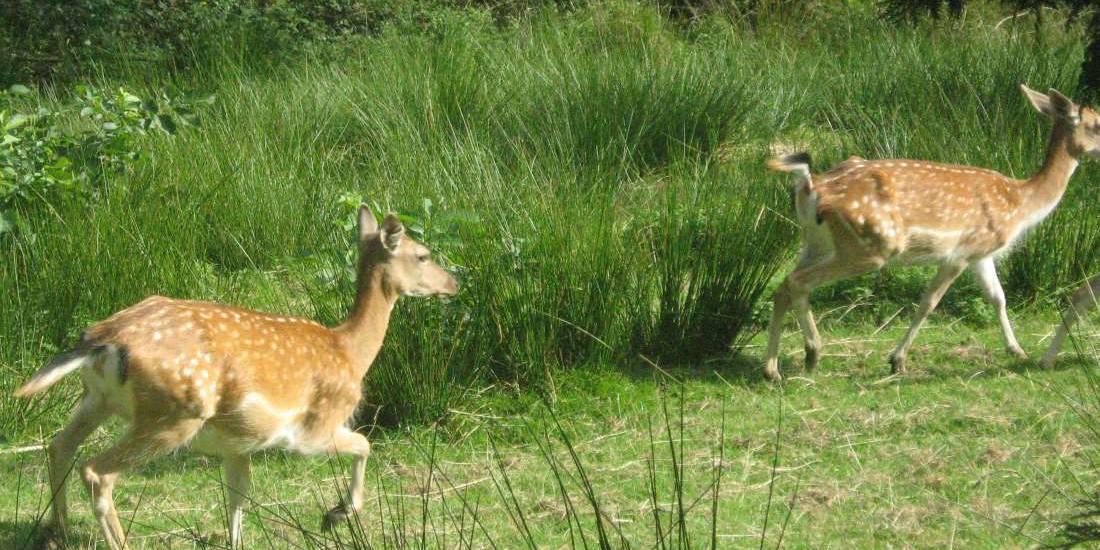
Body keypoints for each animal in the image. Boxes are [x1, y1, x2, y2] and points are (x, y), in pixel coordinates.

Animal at [10, 206, 455, 550]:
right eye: (422, 255)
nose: (454, 281)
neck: (350, 352)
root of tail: (103, 339)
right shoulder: (313, 427)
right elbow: (364, 445)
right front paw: (337, 514)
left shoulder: (239, 443)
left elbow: (238, 495)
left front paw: (236, 539)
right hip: (174, 412)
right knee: (97, 471)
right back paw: (117, 540)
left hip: (100, 397)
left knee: (60, 447)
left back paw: (58, 531)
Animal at [765, 86, 1100, 382]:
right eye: (1096, 123)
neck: (1019, 205)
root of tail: (810, 186)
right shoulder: (960, 253)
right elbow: (929, 302)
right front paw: (897, 360)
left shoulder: (982, 253)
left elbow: (998, 297)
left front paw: (1017, 350)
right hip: (869, 246)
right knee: (798, 282)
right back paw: (809, 354)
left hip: (815, 242)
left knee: (783, 286)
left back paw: (778, 367)